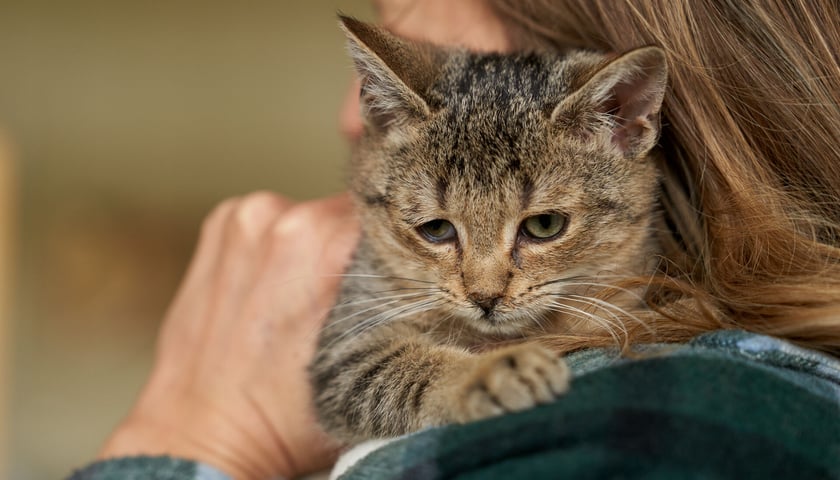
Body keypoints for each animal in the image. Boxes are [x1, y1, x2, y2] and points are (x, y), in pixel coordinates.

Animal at [310, 15, 668, 442]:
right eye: (436, 228)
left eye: (544, 225)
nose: (485, 297)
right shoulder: (347, 343)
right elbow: (401, 370)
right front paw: (489, 372)